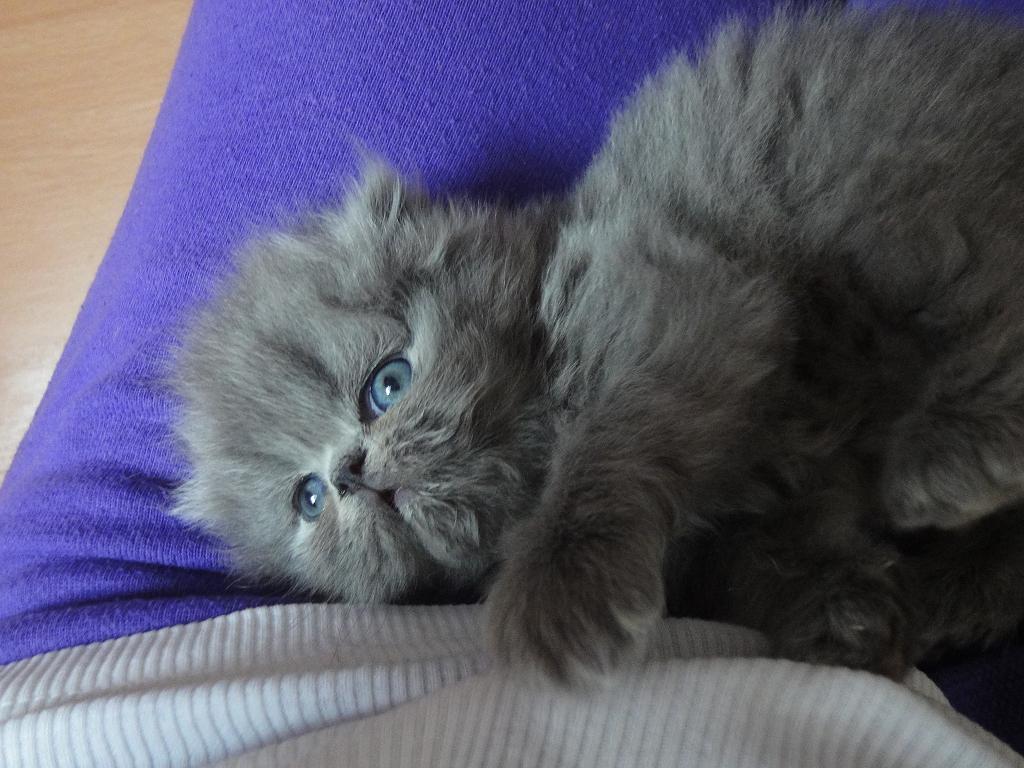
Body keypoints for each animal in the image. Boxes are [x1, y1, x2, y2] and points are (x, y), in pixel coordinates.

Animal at [172, 5, 1024, 687]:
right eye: (308, 501)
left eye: (387, 384)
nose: (351, 472)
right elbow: (755, 565)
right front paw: (845, 615)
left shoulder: (685, 294)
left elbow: (608, 443)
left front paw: (560, 594)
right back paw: (952, 587)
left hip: (891, 203)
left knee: (993, 304)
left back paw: (952, 456)